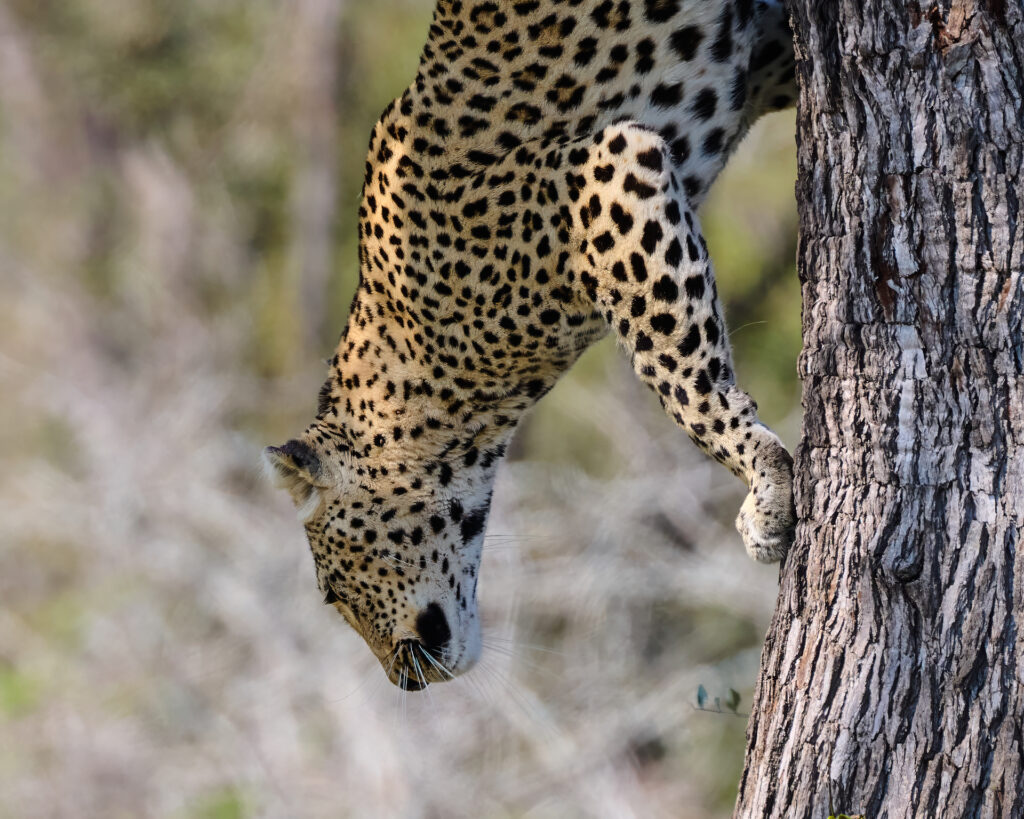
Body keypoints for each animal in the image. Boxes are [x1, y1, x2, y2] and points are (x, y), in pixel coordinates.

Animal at [265, 0, 798, 691]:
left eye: (333, 592)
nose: (399, 680)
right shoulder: (754, 66)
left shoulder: (609, 173)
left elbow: (679, 374)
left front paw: (766, 488)